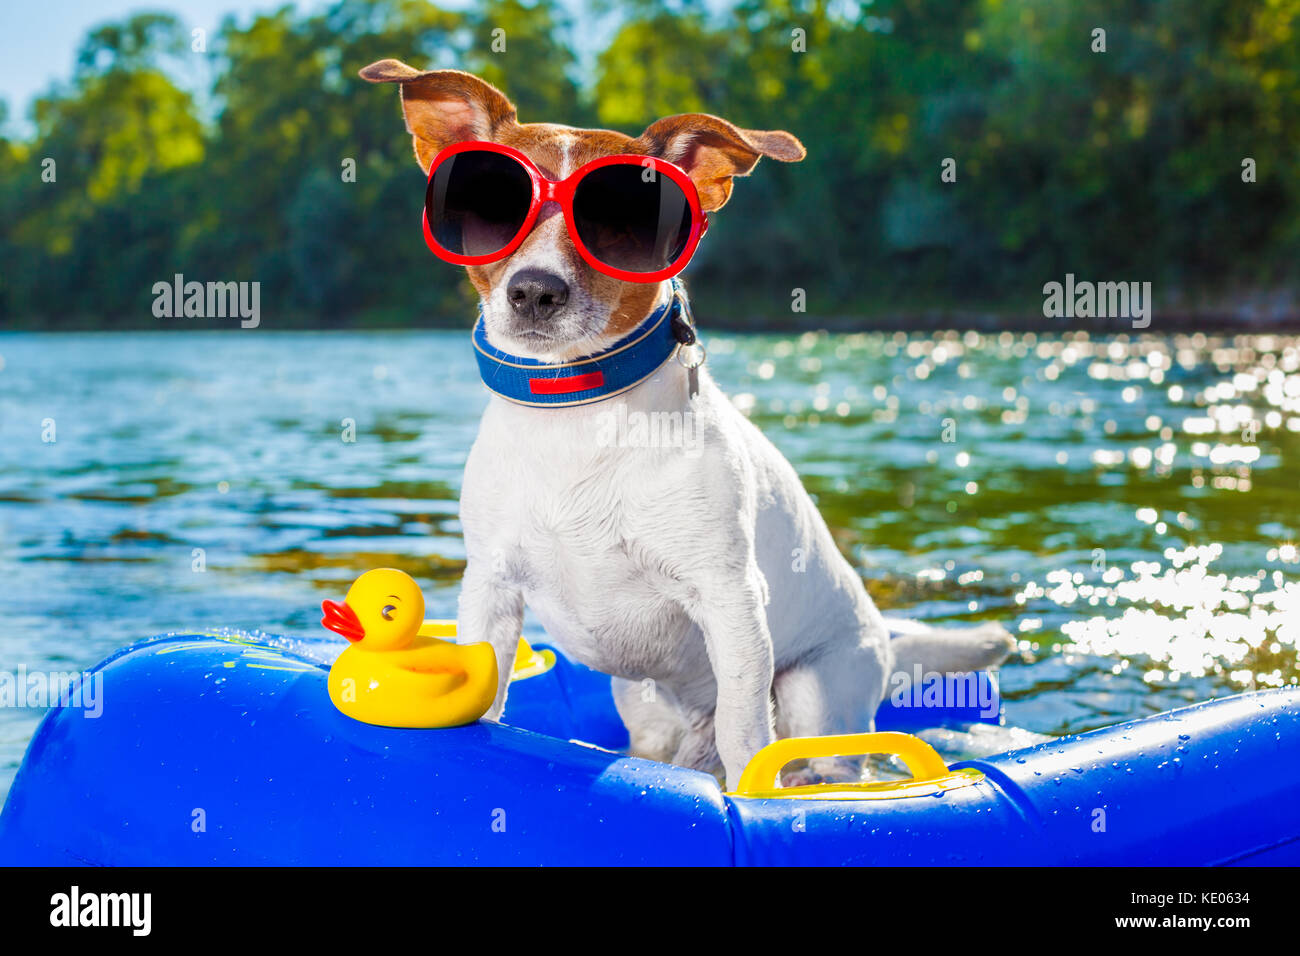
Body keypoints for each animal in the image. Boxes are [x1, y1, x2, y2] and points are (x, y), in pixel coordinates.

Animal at [361, 61, 1008, 790]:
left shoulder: (730, 602)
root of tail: (886, 642)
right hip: (647, 706)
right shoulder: (491, 590)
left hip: (819, 693)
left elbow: (748, 736)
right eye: (492, 205)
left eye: (622, 224)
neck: (577, 413)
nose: (534, 291)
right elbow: (487, 691)